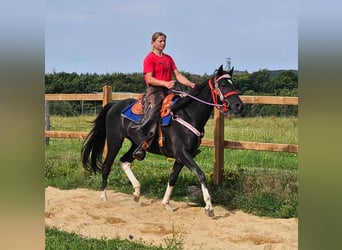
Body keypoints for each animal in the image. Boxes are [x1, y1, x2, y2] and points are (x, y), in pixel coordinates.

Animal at [81, 65, 243, 217]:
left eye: (233, 84)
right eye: (223, 84)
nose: (239, 105)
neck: (187, 114)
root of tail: (114, 106)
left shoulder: (183, 156)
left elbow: (173, 178)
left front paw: (166, 203)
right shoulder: (183, 153)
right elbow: (200, 174)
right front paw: (209, 208)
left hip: (136, 144)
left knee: (124, 161)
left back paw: (137, 193)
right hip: (115, 141)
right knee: (107, 166)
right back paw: (104, 197)